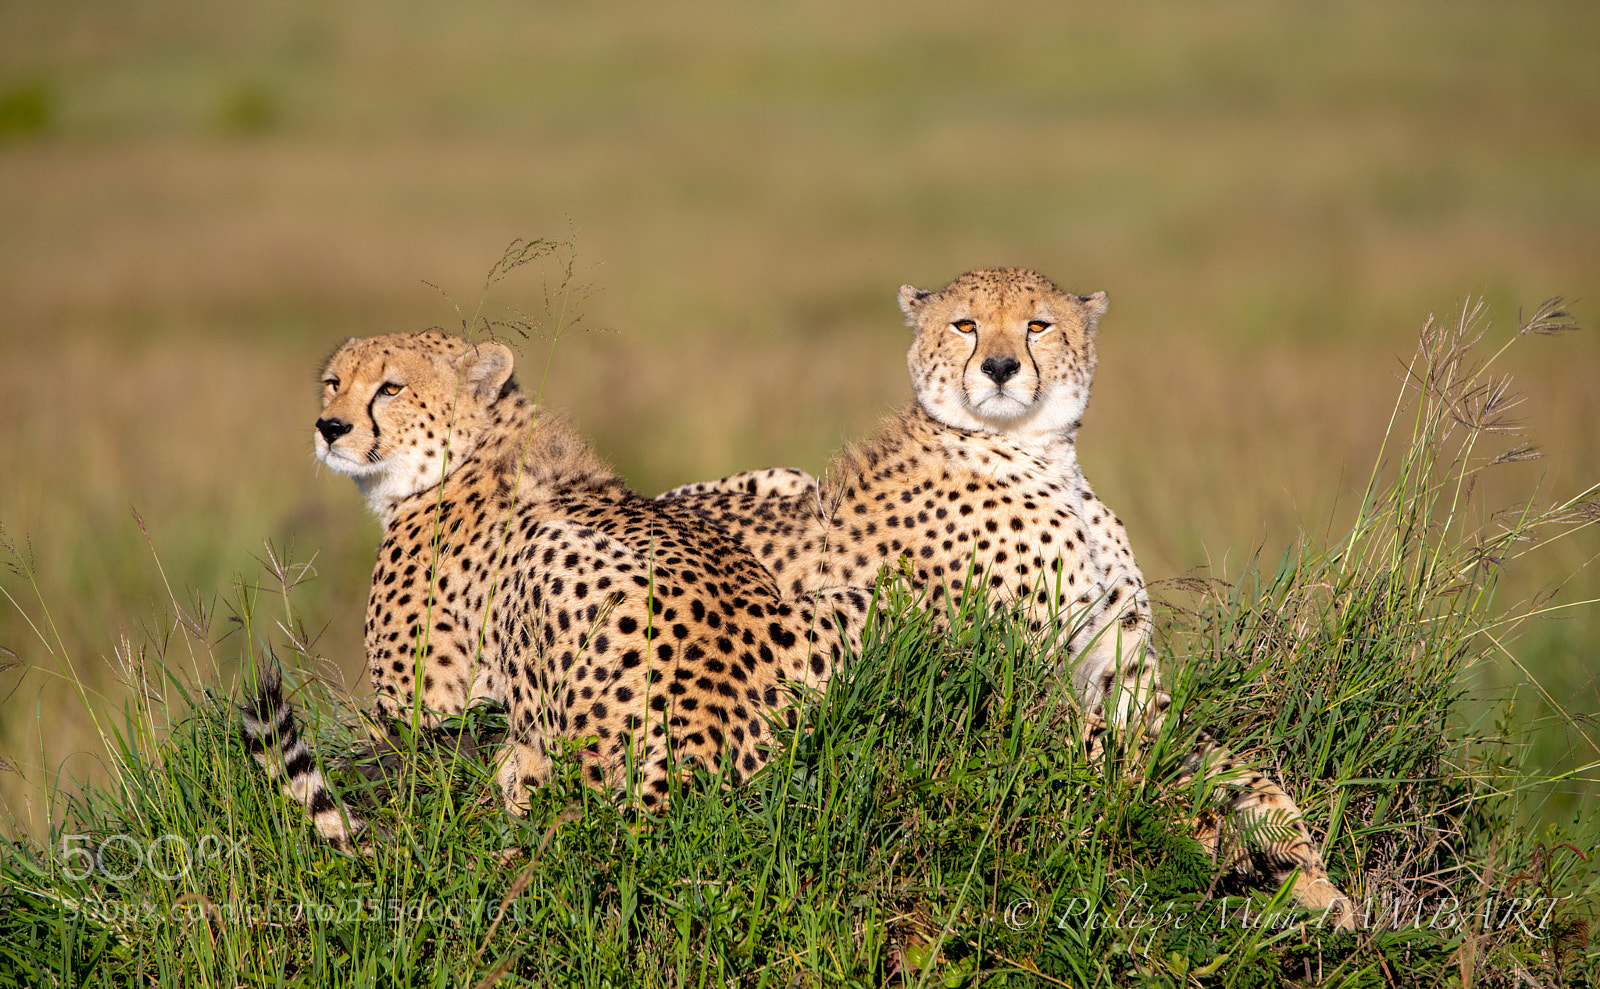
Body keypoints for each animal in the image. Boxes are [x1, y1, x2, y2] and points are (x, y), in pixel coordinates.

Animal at [243, 329, 871, 850]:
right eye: (334, 383)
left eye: (390, 388)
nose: (330, 428)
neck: (472, 449)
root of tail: (700, 746)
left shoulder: (415, 707)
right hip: (855, 598)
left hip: (543, 555)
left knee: (547, 775)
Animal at [659, 268, 1357, 927]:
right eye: (965, 325)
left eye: (1038, 326)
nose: (999, 367)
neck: (1037, 454)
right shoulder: (1024, 689)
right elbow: (1139, 770)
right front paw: (1224, 844)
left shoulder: (1123, 674)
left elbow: (1241, 769)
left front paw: (1314, 879)